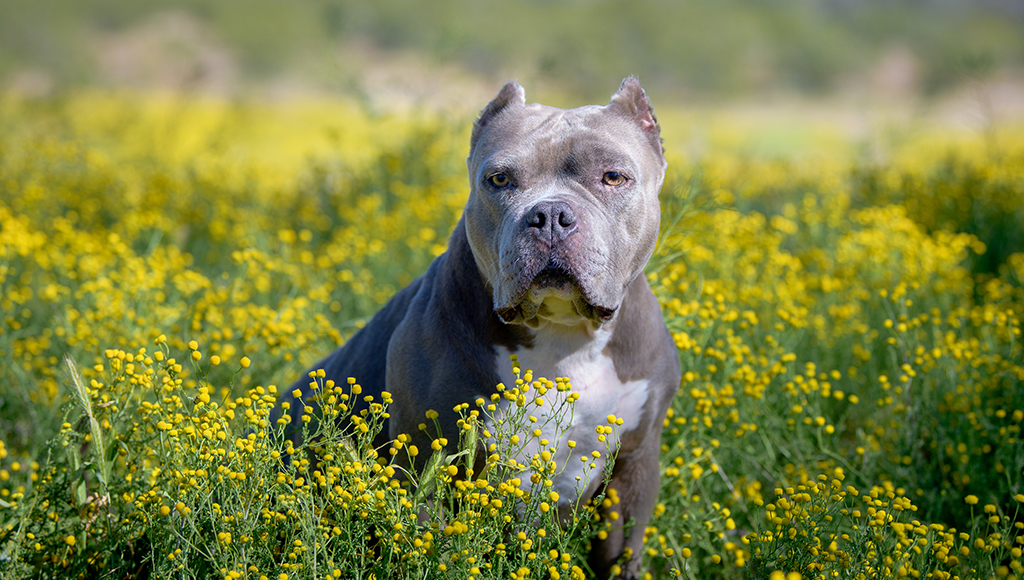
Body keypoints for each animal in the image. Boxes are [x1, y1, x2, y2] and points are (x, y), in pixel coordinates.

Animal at [278, 78, 679, 580]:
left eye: (613, 177)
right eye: (500, 180)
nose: (550, 215)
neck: (562, 336)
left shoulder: (635, 466)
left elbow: (622, 555)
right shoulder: (427, 460)